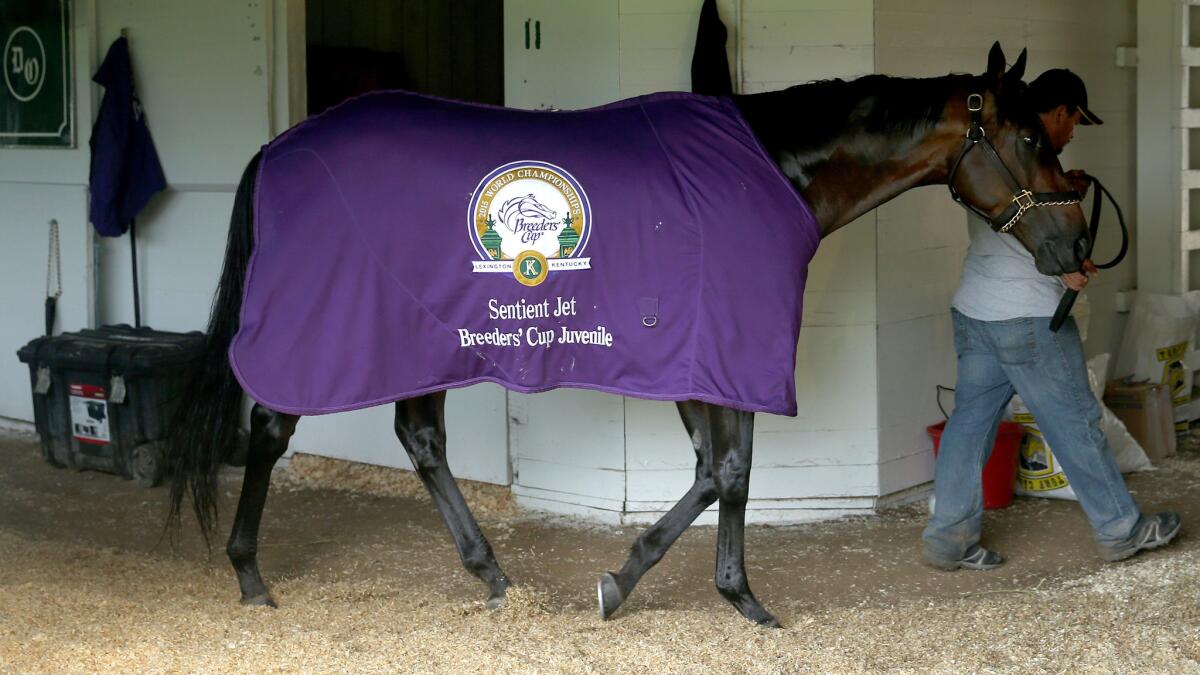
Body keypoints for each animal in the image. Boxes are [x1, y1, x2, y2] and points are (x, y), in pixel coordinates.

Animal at [166, 43, 1089, 624]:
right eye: (1029, 135)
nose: (1076, 246)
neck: (773, 166)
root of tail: (280, 145)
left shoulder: (698, 363)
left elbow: (715, 473)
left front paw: (655, 582)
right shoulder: (730, 351)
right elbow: (730, 472)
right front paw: (714, 594)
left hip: (418, 338)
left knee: (419, 438)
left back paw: (493, 576)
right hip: (327, 336)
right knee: (271, 426)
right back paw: (250, 573)